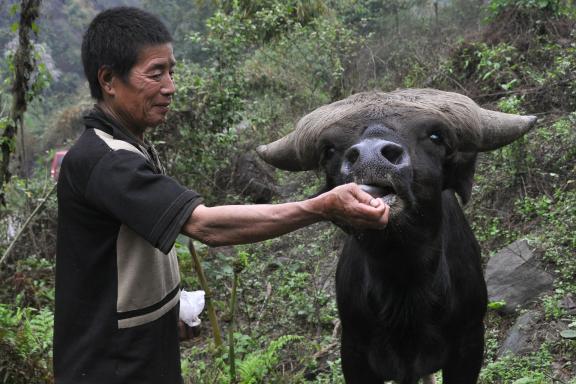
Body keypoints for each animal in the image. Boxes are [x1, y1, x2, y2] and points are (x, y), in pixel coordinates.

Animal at [256, 88, 536, 382]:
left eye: (435, 136)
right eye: (329, 149)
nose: (370, 158)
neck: (405, 284)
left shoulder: (470, 341)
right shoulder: (353, 351)